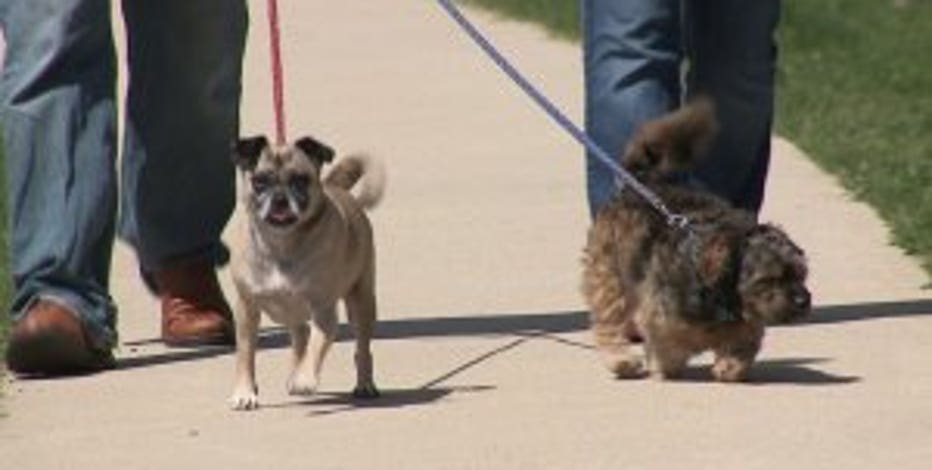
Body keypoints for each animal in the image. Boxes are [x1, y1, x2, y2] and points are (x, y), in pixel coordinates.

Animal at [228, 134, 384, 410]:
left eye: (300, 181)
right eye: (259, 182)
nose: (280, 198)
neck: (281, 244)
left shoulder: (323, 311)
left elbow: (316, 347)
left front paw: (305, 380)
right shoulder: (246, 309)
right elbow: (245, 354)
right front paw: (245, 392)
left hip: (361, 302)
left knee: (362, 348)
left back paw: (364, 384)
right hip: (291, 313)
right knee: (300, 335)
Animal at [584, 99, 808, 382]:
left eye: (801, 275)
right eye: (769, 279)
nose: (803, 300)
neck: (724, 297)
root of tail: (641, 183)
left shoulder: (749, 326)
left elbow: (743, 347)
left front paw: (729, 367)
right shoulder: (661, 319)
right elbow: (667, 349)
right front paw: (665, 368)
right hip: (610, 274)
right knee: (609, 319)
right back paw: (621, 359)